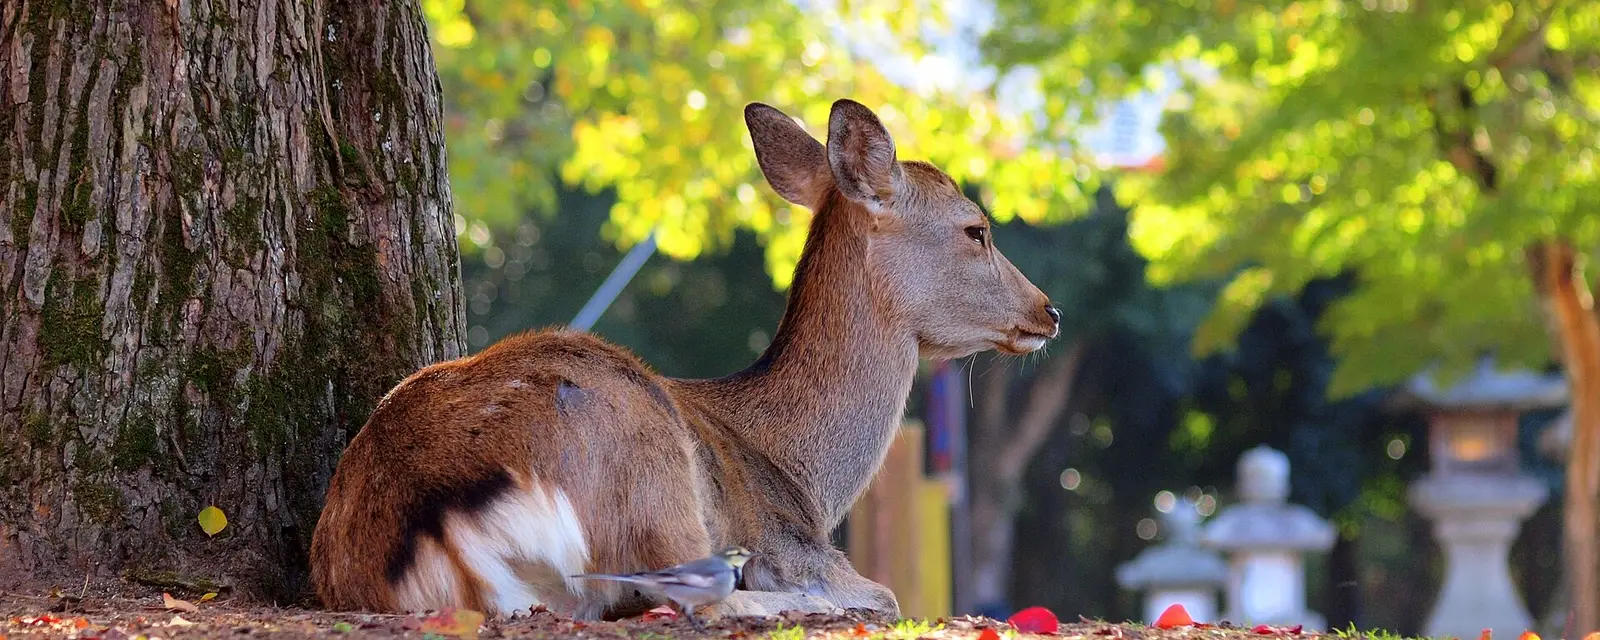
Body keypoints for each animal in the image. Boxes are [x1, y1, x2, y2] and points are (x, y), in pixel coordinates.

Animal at [308, 98, 1061, 622]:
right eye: (976, 229)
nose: (1049, 311)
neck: (803, 478)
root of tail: (432, 519)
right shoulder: (793, 544)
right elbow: (886, 592)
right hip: (651, 474)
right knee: (699, 595)